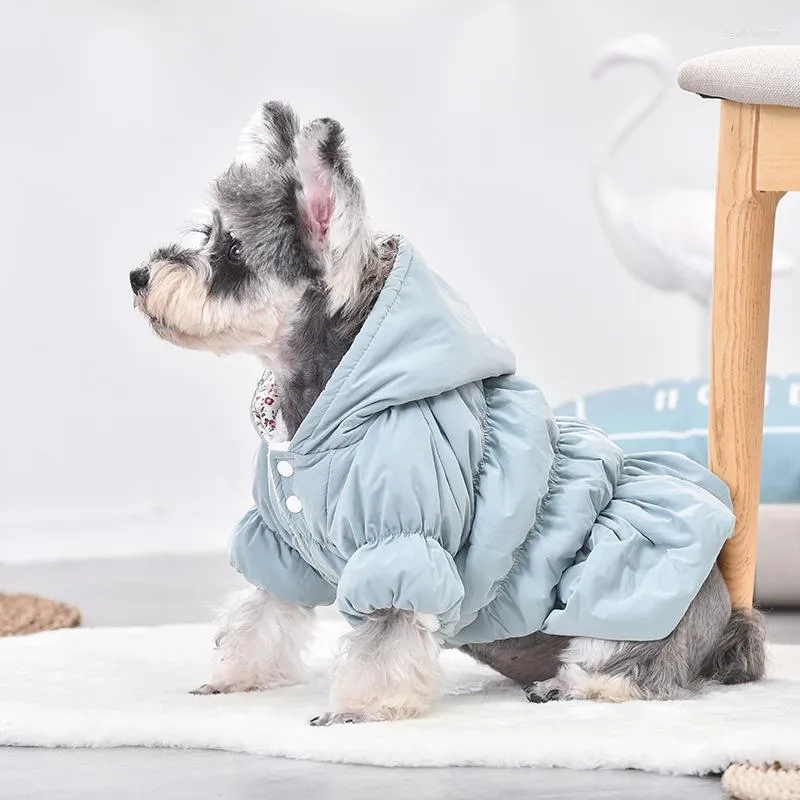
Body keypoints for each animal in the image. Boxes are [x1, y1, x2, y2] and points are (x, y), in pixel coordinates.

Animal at [131, 100, 768, 724]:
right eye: (205, 233)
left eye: (234, 249)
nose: (139, 275)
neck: (322, 412)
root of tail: (726, 620)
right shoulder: (281, 545)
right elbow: (258, 612)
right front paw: (234, 677)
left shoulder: (400, 538)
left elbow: (382, 638)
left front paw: (363, 707)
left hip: (619, 596)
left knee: (627, 672)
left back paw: (565, 687)